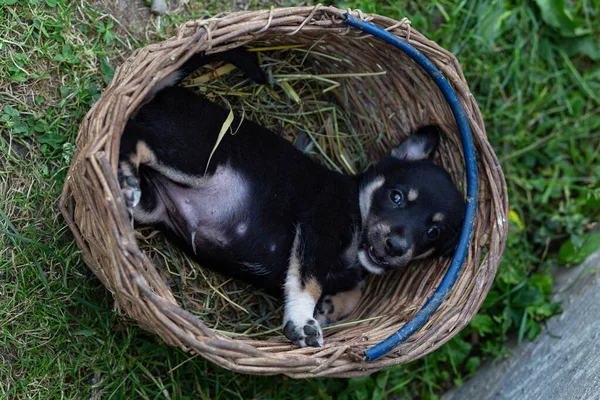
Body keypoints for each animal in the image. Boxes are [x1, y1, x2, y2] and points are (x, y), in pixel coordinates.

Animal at [117, 48, 464, 348]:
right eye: (396, 197)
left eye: (433, 232)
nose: (395, 247)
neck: (357, 207)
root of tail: (166, 93)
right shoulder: (319, 226)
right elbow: (308, 281)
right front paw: (302, 321)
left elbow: (353, 292)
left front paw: (330, 307)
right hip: (199, 156)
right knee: (134, 137)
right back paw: (124, 177)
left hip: (155, 205)